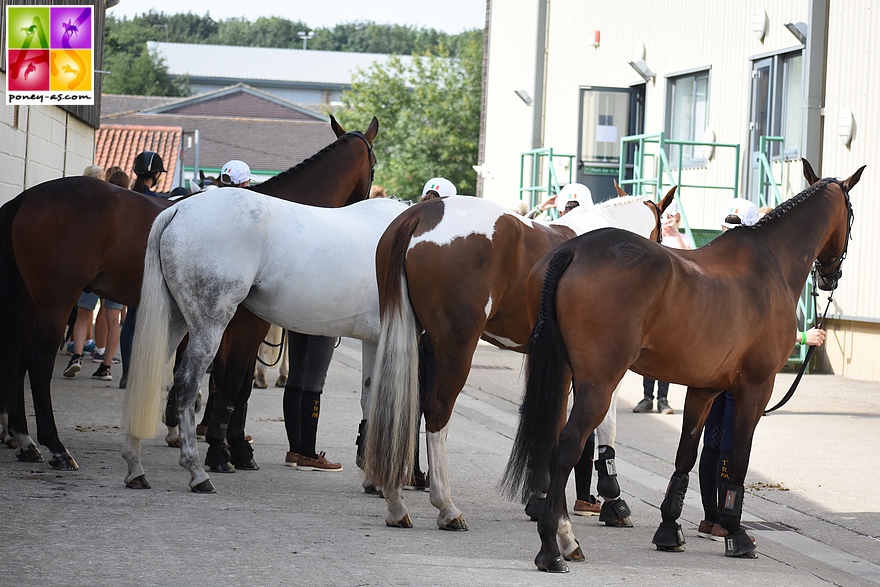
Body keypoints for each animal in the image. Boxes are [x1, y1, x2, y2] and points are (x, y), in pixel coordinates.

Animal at [0, 116, 378, 474]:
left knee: (16, 359)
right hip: (56, 301)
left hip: (26, 302)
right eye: (374, 164)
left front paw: (226, 444)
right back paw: (55, 447)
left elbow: (228, 385)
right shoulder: (246, 327)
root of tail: (26, 197)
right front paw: (223, 451)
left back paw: (24, 440)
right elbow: (233, 385)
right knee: (37, 363)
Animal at [120, 193, 410, 492]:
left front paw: (372, 476)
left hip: (174, 320)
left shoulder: (374, 341)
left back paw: (135, 466)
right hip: (208, 326)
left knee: (145, 375)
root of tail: (180, 208)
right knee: (186, 381)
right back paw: (197, 472)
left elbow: (370, 400)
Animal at [360, 191, 672, 532]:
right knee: (437, 412)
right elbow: (604, 427)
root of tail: (422, 213)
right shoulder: (601, 369)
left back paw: (395, 501)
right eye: (662, 233)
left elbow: (554, 422)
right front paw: (612, 500)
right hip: (456, 347)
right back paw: (446, 507)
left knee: (394, 405)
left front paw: (540, 497)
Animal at [498, 162, 864, 576]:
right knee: (568, 446)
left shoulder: (704, 389)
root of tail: (572, 251)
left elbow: (685, 455)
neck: (771, 262)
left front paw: (670, 529)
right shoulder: (756, 387)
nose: (831, 277)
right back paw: (553, 546)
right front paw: (737, 534)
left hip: (562, 377)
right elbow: (738, 458)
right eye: (851, 215)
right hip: (599, 383)